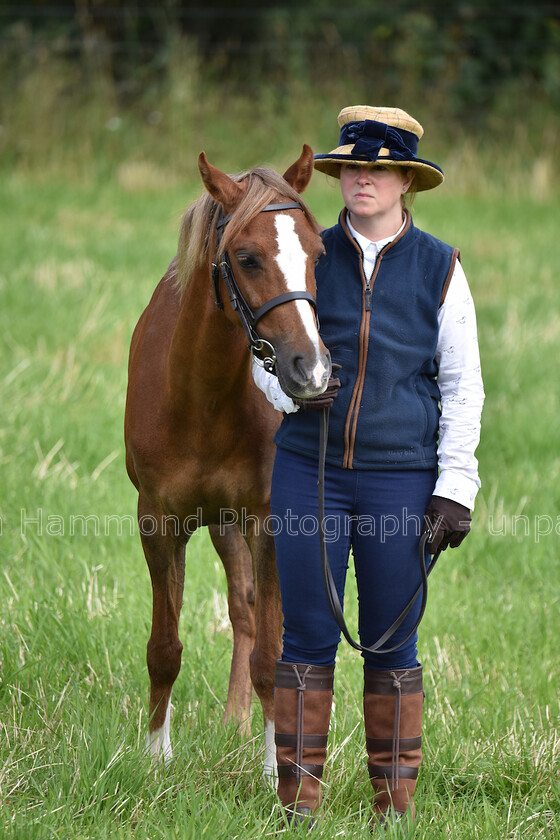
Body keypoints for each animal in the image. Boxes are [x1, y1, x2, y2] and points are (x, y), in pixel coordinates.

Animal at [124, 148, 330, 776]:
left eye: (318, 253)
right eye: (247, 257)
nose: (311, 369)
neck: (200, 396)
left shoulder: (267, 520)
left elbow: (272, 653)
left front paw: (276, 769)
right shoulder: (158, 520)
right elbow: (164, 647)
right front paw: (157, 757)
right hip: (219, 523)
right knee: (242, 607)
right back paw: (234, 721)